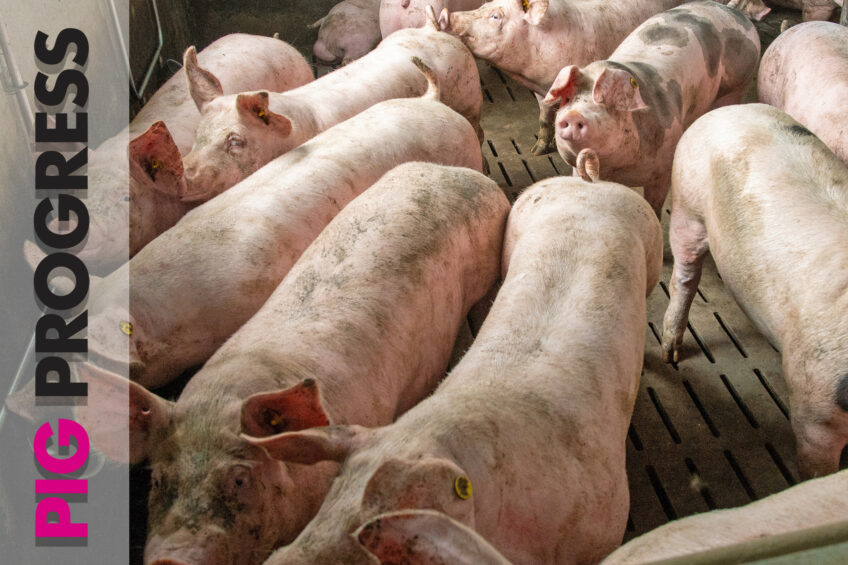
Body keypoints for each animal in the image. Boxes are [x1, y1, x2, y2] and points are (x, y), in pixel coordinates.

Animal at [250, 171, 663, 565]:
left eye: (381, 527)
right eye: (333, 493)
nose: (287, 560)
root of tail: (588, 181)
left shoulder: (605, 520)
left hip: (652, 250)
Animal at [438, 0, 684, 155]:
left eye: (496, 16)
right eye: (482, 5)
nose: (446, 14)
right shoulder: (541, 91)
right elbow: (544, 116)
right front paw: (536, 151)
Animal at [544, 1, 760, 215]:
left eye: (608, 103)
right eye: (568, 99)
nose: (573, 115)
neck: (618, 171)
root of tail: (733, 11)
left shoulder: (663, 168)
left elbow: (655, 203)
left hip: (739, 83)